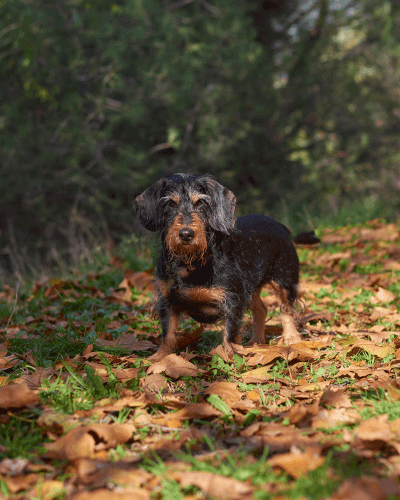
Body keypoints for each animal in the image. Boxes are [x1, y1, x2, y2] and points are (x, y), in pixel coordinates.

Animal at [136, 174, 302, 362]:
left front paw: (230, 358)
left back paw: (291, 337)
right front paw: (158, 358)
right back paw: (256, 341)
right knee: (261, 309)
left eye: (201, 203)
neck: (191, 261)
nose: (186, 234)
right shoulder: (167, 300)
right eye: (171, 203)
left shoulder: (232, 301)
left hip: (284, 279)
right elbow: (168, 334)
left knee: (286, 308)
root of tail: (279, 225)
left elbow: (229, 336)